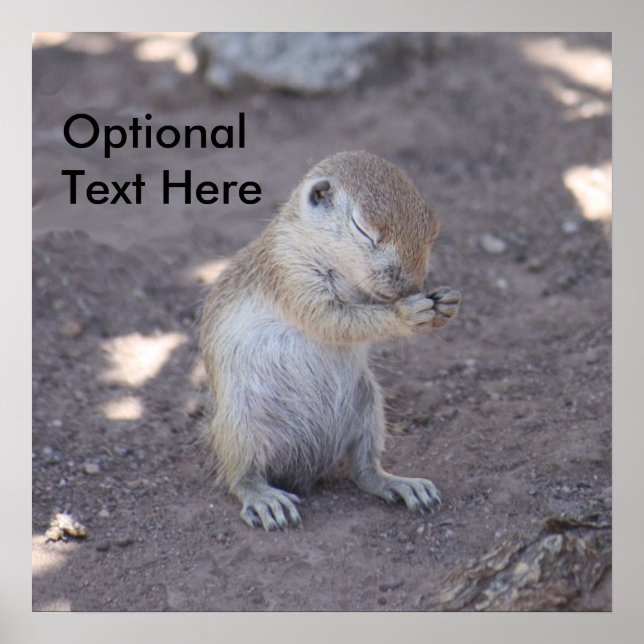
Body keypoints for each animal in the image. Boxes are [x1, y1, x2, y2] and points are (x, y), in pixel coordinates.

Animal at [200, 151, 461, 530]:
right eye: (363, 228)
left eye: (434, 230)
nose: (411, 286)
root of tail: (306, 469)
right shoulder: (291, 272)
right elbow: (331, 319)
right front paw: (405, 314)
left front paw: (446, 303)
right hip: (239, 427)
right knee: (241, 477)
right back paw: (265, 500)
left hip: (369, 408)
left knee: (363, 470)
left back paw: (400, 484)